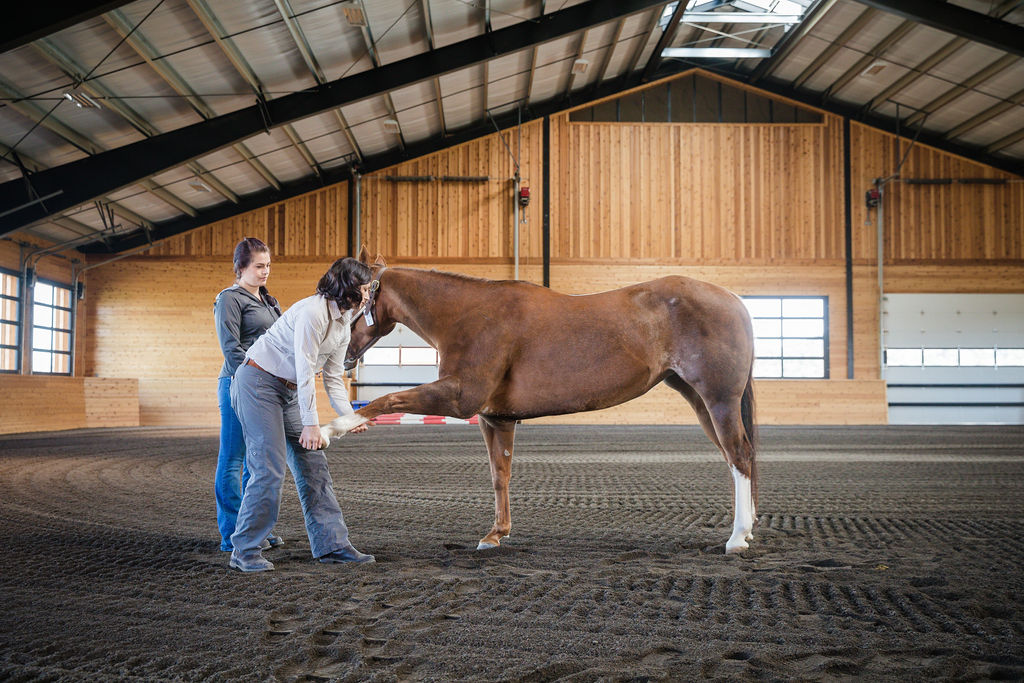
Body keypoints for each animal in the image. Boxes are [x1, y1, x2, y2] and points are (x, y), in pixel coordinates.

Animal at [323, 250, 757, 557]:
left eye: (349, 299)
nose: (344, 358)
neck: (469, 316)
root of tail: (733, 300)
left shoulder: (461, 398)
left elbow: (387, 399)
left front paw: (332, 429)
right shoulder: (496, 418)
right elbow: (500, 475)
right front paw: (495, 535)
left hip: (718, 399)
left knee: (738, 455)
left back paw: (737, 539)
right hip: (698, 399)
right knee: (739, 456)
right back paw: (749, 527)